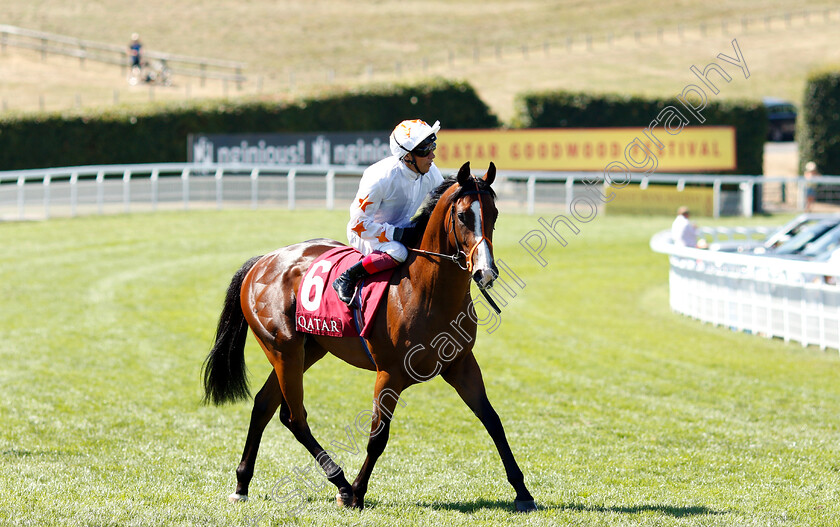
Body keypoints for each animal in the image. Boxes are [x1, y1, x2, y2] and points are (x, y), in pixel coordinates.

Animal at [200, 163, 536, 512]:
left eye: (494, 213)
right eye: (462, 216)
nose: (486, 272)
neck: (426, 292)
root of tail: (262, 261)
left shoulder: (461, 365)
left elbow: (493, 421)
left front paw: (522, 491)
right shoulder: (390, 372)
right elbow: (378, 437)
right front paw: (358, 491)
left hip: (308, 350)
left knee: (264, 405)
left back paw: (242, 484)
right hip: (283, 349)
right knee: (294, 417)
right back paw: (341, 483)